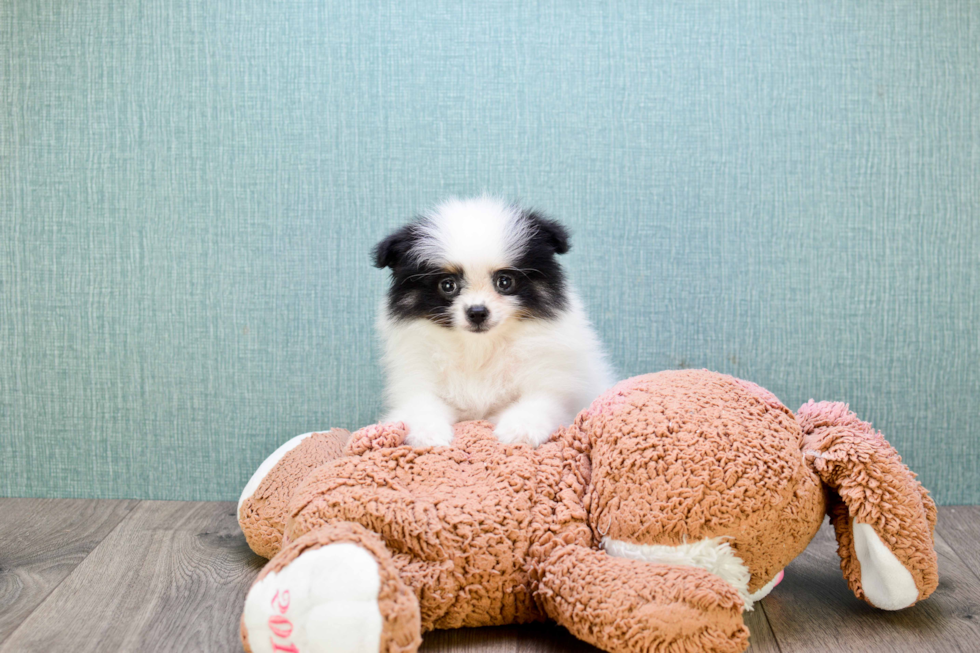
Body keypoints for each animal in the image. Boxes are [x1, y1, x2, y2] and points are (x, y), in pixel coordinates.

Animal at [374, 196, 612, 446]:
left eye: (505, 282)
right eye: (447, 285)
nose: (477, 312)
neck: (480, 346)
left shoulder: (553, 382)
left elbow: (541, 401)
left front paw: (520, 428)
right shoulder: (418, 379)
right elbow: (420, 405)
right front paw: (428, 433)